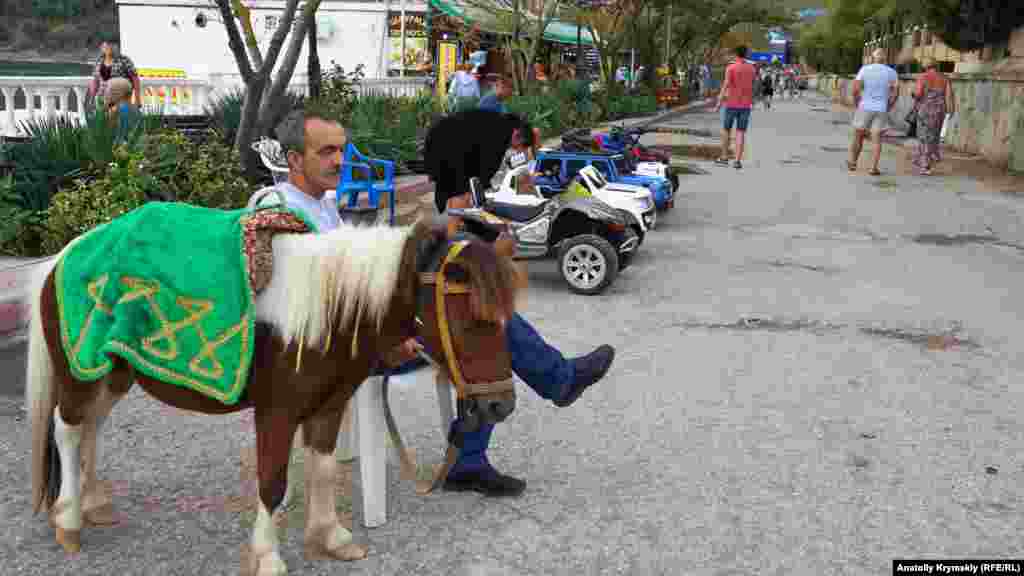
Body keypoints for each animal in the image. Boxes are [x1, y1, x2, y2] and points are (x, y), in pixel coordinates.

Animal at [28, 217, 524, 569]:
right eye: (469, 319)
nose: (499, 405)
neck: (329, 312)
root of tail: (62, 258)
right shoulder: (277, 414)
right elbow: (272, 483)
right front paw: (268, 555)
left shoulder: (328, 408)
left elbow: (324, 470)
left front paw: (332, 536)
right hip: (81, 373)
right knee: (69, 429)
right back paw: (69, 520)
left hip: (114, 375)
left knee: (92, 427)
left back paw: (93, 503)